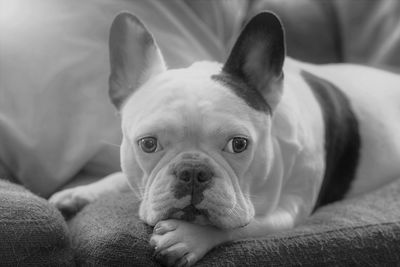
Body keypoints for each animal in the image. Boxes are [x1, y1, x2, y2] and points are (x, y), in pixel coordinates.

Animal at [49, 11, 400, 266]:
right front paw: (82, 191)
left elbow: (242, 225)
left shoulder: (288, 212)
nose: (192, 171)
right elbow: (118, 177)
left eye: (238, 144)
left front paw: (189, 237)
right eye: (148, 144)